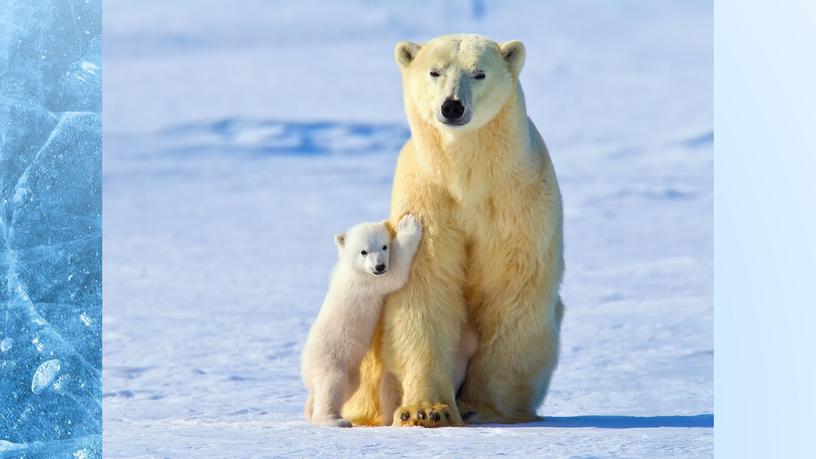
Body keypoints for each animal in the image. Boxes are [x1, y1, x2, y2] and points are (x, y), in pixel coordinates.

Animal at [342, 34, 564, 430]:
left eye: (479, 73)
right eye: (435, 71)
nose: (452, 106)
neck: (467, 176)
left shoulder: (517, 203)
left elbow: (513, 289)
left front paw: (483, 407)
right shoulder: (428, 200)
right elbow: (425, 290)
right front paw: (427, 410)